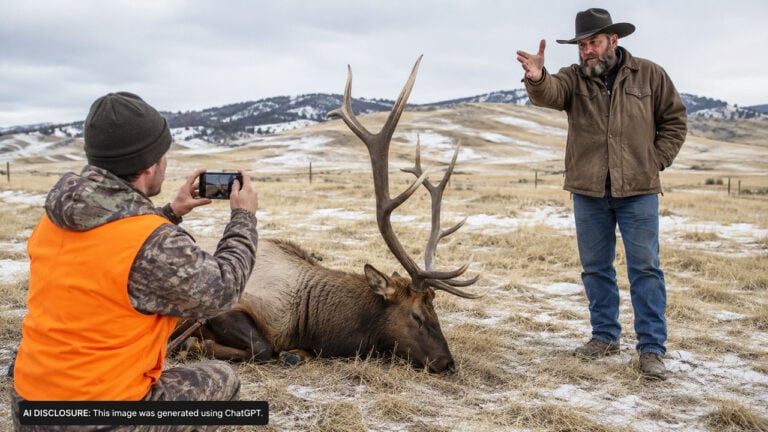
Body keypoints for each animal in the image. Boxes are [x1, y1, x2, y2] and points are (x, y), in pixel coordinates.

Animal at [170, 56, 479, 374]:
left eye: (436, 310)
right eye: (417, 315)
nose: (448, 362)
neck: (309, 322)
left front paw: (293, 354)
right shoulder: (229, 303)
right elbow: (263, 347)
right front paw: (194, 344)